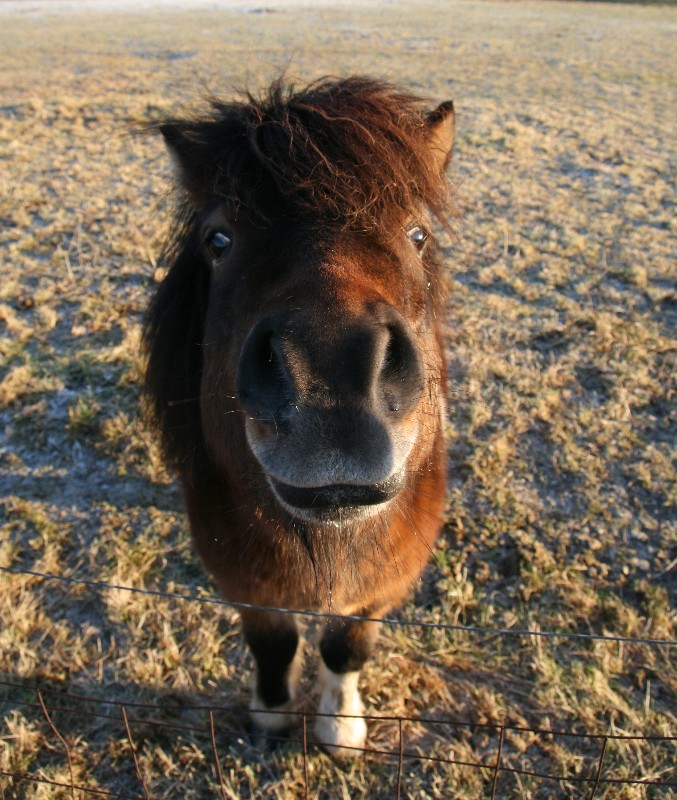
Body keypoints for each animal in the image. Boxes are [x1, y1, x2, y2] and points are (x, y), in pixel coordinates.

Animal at [143, 76, 454, 756]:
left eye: (417, 235)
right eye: (219, 240)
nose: (330, 383)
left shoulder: (386, 577)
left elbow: (344, 644)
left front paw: (341, 727)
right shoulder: (241, 573)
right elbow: (274, 640)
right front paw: (272, 714)